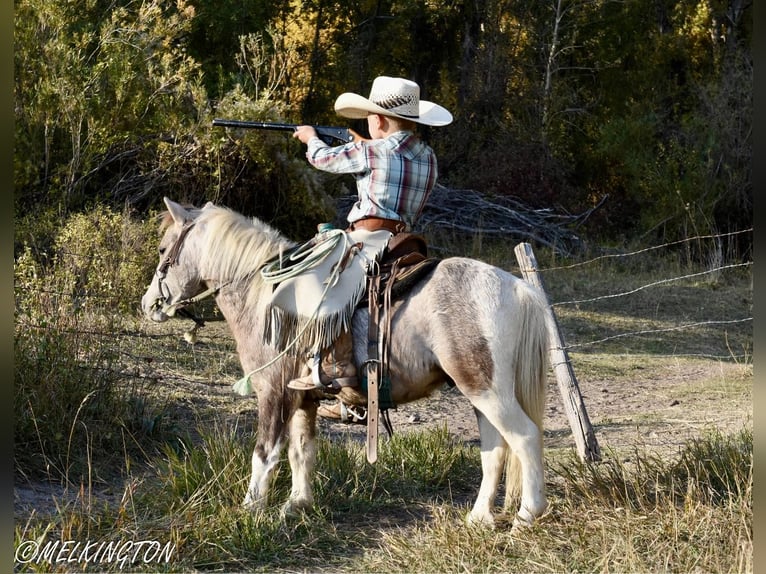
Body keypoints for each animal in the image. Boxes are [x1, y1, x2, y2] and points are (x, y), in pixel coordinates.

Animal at [142, 199, 552, 532]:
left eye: (163, 249)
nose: (149, 304)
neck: (265, 296)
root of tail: (517, 288)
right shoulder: (302, 398)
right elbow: (301, 451)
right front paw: (296, 505)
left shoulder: (272, 392)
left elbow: (266, 452)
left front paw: (250, 511)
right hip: (480, 392)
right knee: (495, 448)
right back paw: (479, 517)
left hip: (487, 391)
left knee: (524, 438)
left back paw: (526, 517)